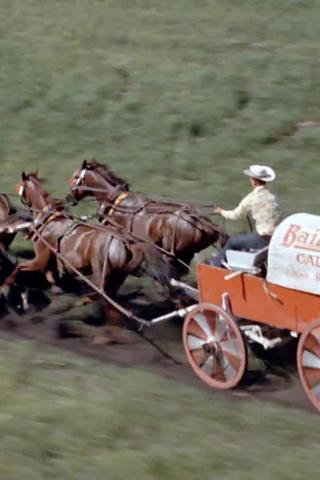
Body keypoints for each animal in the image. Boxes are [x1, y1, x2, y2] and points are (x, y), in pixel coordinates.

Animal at [66, 160, 224, 276]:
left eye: (75, 177)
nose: (68, 198)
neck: (116, 202)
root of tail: (204, 224)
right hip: (185, 254)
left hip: (172, 254)